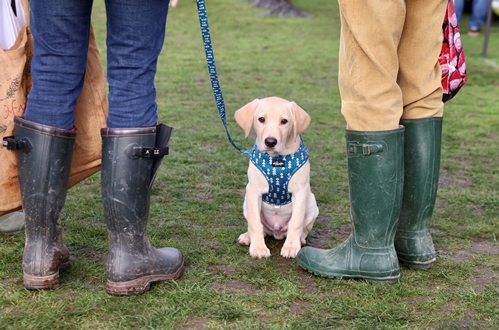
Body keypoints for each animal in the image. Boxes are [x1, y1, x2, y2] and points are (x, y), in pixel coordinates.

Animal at [235, 96, 320, 260]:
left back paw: (300, 239)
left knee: (304, 228)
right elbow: (255, 223)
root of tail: (277, 231)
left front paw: (291, 247)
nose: (270, 142)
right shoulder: (253, 190)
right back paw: (248, 237)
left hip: (312, 204)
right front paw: (258, 248)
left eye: (284, 121)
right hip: (246, 203)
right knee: (259, 227)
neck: (277, 161)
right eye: (261, 119)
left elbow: (296, 222)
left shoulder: (300, 191)